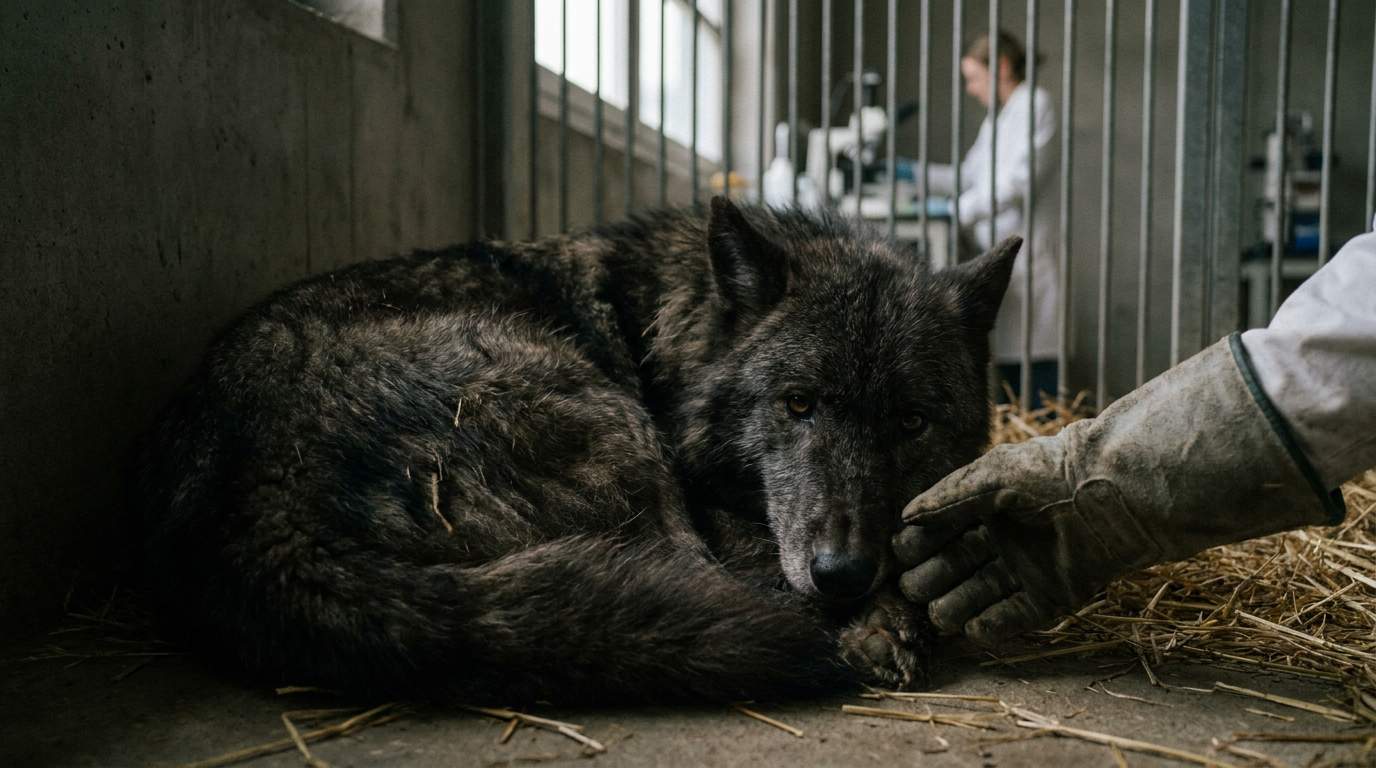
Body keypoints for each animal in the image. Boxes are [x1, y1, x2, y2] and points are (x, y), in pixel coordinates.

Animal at [129, 197, 1020, 704]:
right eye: (798, 404)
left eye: (911, 423)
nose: (843, 575)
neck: (669, 328)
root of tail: (254, 519)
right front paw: (884, 619)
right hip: (609, 422)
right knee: (705, 574)